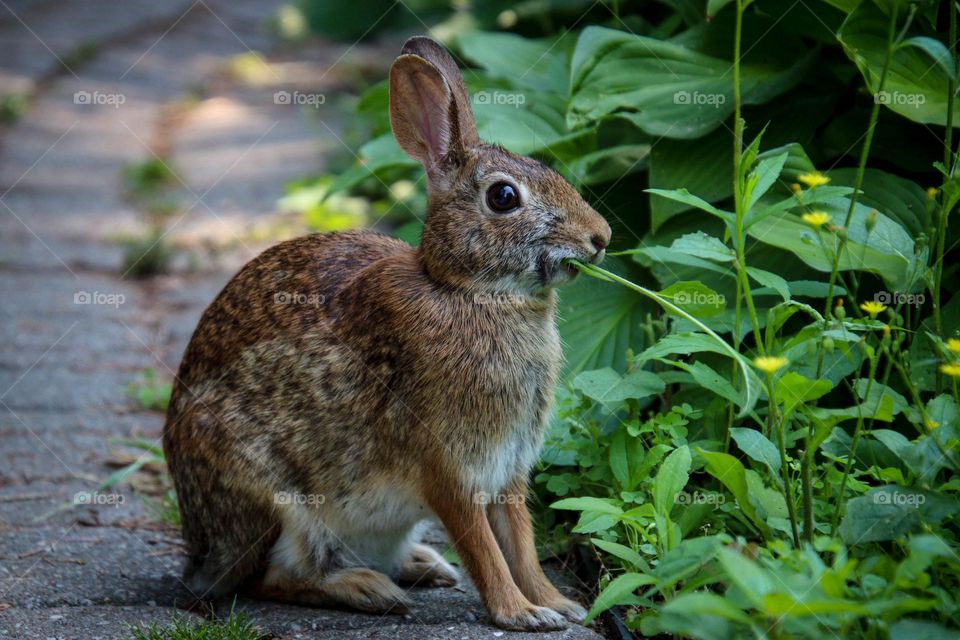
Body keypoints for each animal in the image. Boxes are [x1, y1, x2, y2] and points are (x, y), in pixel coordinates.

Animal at [162, 36, 610, 632]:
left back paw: (422, 566)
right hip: (274, 501)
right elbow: (484, 549)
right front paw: (520, 614)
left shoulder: (508, 472)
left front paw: (557, 604)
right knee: (270, 578)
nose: (600, 237)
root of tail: (198, 549)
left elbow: (521, 543)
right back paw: (370, 590)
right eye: (504, 198)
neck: (467, 291)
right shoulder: (447, 469)